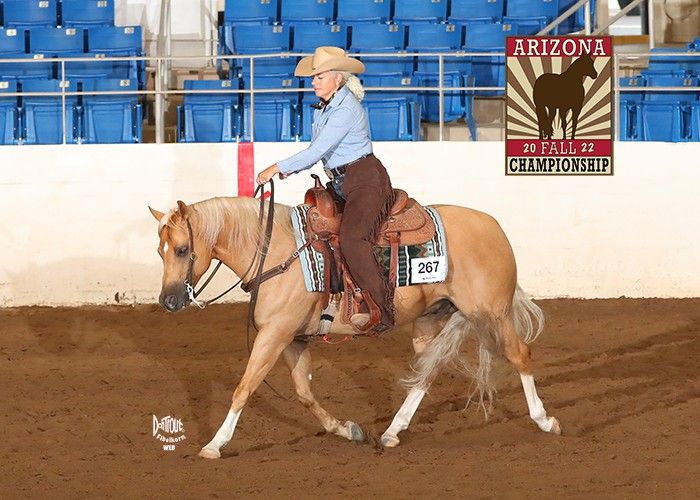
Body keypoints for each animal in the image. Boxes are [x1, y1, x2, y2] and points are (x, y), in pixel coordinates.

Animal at [149, 194, 564, 458]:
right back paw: (392, 432)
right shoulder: (292, 339)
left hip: (492, 313)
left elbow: (244, 388)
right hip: (431, 320)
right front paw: (348, 429)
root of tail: (494, 228)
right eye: (160, 251)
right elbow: (304, 393)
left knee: (521, 355)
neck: (278, 252)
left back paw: (545, 421)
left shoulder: (274, 335)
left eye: (183, 250)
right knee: (427, 373)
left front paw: (215, 444)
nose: (168, 301)